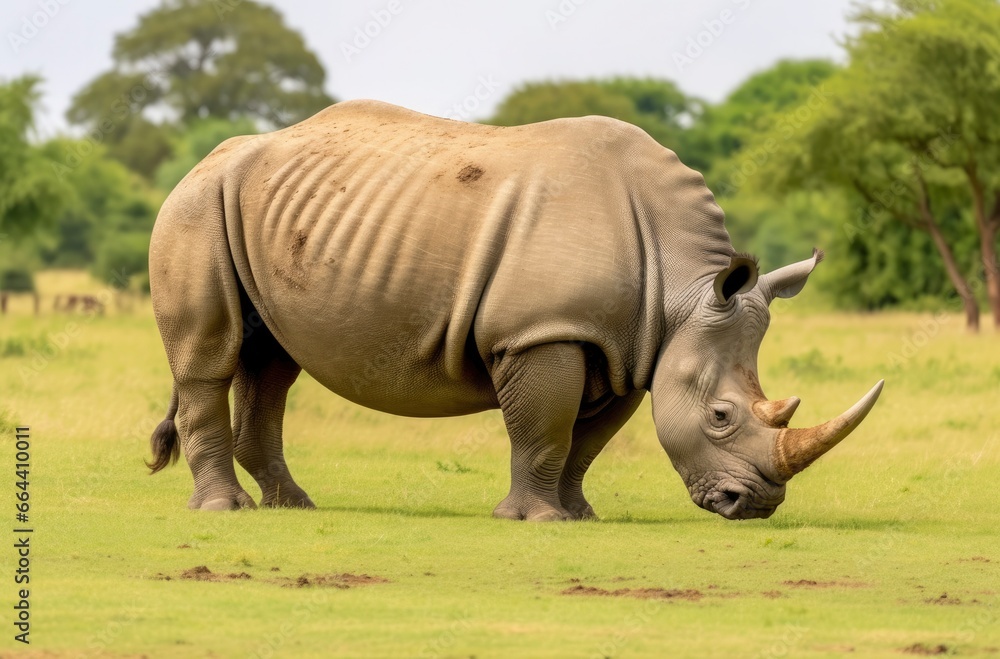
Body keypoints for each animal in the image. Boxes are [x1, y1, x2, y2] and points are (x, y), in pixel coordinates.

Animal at [147, 99, 883, 520]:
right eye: (723, 416)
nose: (754, 504)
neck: (681, 290)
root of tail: (204, 160)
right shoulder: (542, 332)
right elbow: (543, 428)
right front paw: (537, 519)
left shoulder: (628, 345)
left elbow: (585, 440)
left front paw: (579, 514)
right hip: (194, 208)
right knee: (212, 358)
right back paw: (224, 511)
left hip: (257, 211)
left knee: (272, 360)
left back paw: (294, 507)